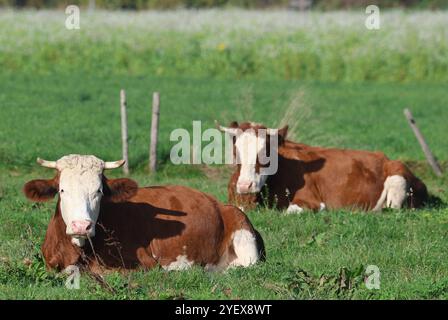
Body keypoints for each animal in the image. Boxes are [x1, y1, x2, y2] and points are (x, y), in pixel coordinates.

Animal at [22, 154, 264, 272]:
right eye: (62, 190)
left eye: (99, 190)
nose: (82, 226)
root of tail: (220, 204)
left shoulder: (142, 264)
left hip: (243, 232)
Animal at [219, 121, 428, 214]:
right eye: (235, 151)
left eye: (266, 153)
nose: (245, 185)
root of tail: (384, 157)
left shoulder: (313, 202)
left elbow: (289, 211)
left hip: (397, 179)